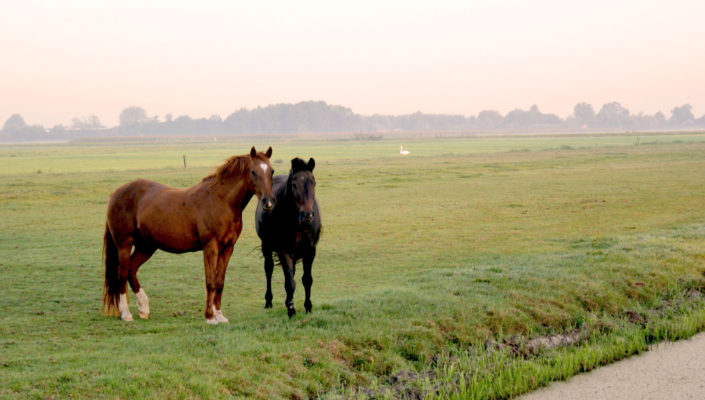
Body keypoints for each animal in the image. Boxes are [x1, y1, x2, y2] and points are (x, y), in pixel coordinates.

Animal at [103, 147, 274, 324]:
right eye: (253, 172)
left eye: (272, 171)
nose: (268, 202)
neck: (221, 201)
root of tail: (116, 193)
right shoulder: (210, 247)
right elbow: (210, 282)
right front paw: (210, 317)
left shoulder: (228, 248)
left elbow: (219, 281)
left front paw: (219, 315)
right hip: (124, 244)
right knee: (122, 273)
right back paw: (126, 313)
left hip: (146, 246)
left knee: (131, 270)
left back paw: (143, 308)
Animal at [256, 158, 322, 318]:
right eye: (294, 184)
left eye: (314, 183)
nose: (307, 215)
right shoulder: (283, 250)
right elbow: (290, 283)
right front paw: (291, 310)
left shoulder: (310, 250)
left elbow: (307, 280)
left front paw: (308, 307)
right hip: (266, 246)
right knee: (269, 269)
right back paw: (268, 302)